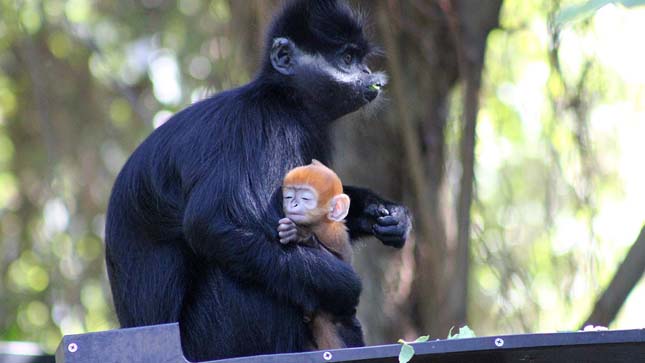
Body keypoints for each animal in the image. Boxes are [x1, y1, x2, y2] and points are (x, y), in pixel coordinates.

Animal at [276, 161, 352, 352]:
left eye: (305, 198)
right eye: (289, 196)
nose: (293, 204)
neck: (319, 226)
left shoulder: (335, 237)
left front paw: (301, 235)